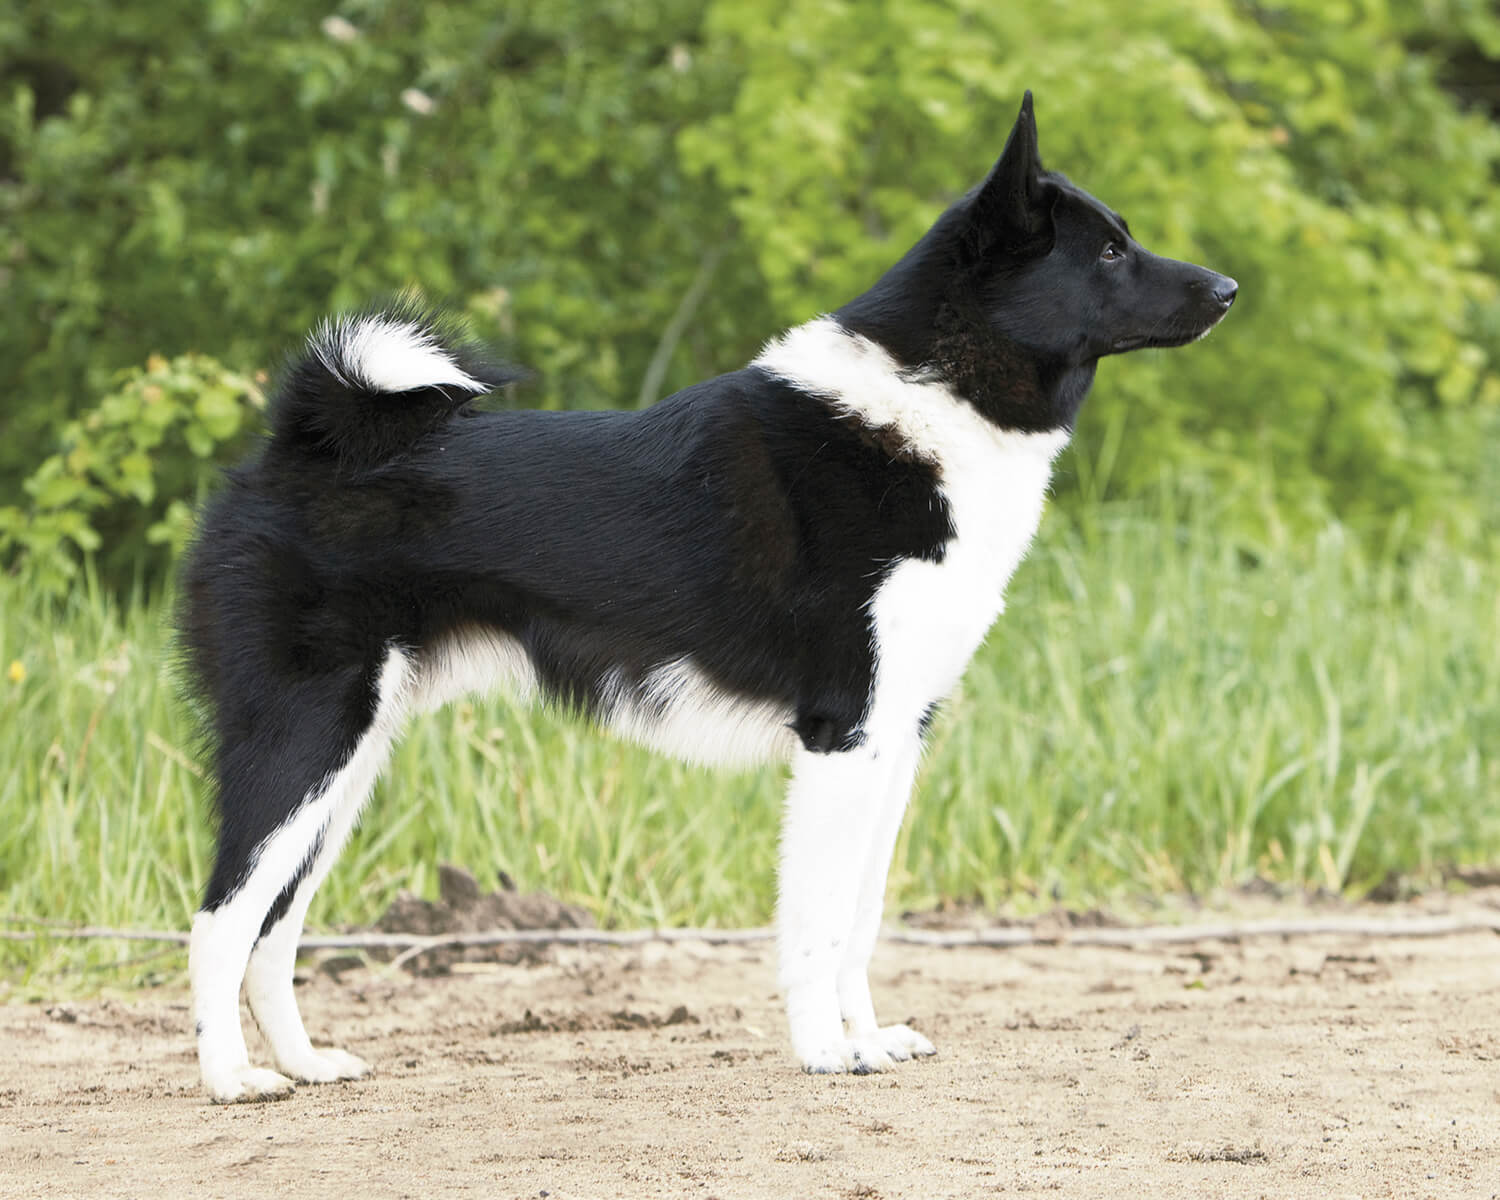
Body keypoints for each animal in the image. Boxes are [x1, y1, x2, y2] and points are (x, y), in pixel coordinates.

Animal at [181, 96, 1236, 1104]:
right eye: (1109, 250)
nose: (1229, 290)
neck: (928, 405)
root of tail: (295, 451)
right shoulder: (843, 737)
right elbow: (816, 923)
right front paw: (827, 1053)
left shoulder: (898, 739)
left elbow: (862, 919)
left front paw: (868, 1040)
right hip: (302, 743)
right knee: (221, 917)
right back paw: (233, 1079)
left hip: (349, 764)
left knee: (276, 927)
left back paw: (304, 1065)